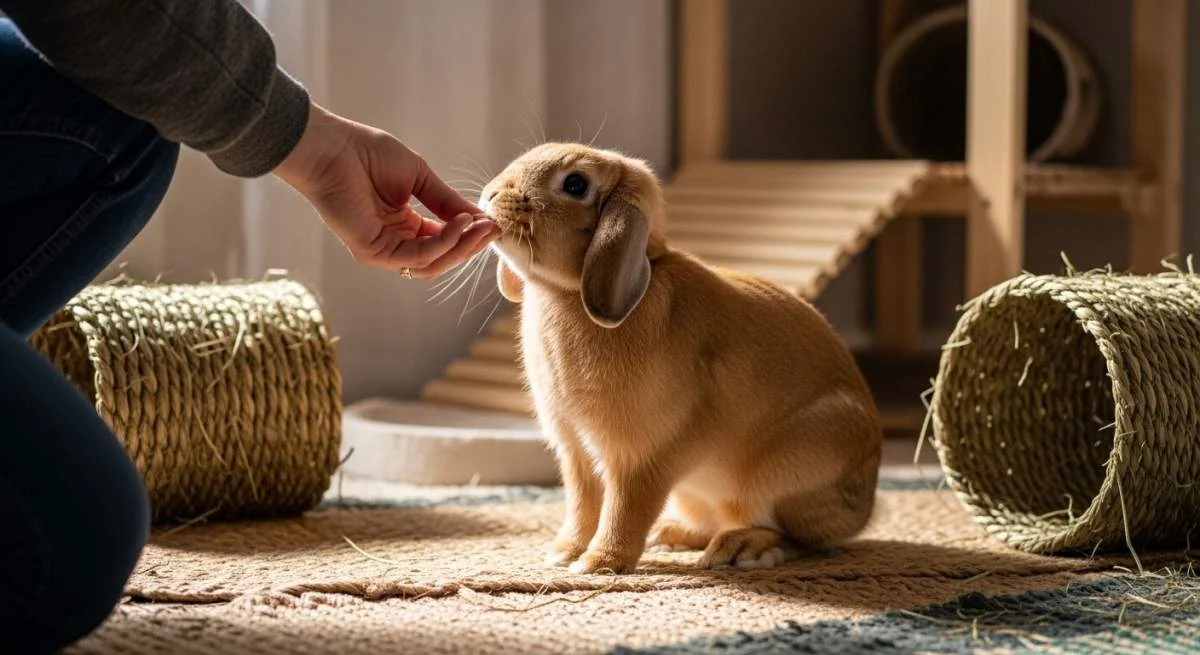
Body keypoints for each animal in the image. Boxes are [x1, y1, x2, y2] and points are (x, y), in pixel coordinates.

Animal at [479, 142, 882, 575]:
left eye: (575, 184)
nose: (489, 195)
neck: (564, 293)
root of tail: (865, 505)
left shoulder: (641, 457)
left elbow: (625, 509)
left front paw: (599, 564)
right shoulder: (576, 452)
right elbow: (583, 503)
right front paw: (564, 552)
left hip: (792, 471)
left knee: (802, 537)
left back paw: (741, 549)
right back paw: (671, 535)